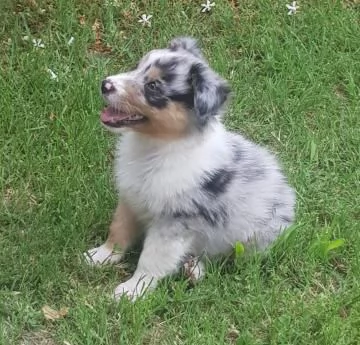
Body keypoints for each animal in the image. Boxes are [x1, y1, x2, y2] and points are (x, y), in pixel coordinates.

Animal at [84, 37, 296, 298]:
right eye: (137, 67)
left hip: (253, 239)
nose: (105, 84)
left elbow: (151, 259)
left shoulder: (175, 221)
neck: (157, 147)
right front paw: (101, 256)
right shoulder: (130, 198)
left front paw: (132, 291)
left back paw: (194, 269)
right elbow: (118, 230)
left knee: (224, 259)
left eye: (153, 86)